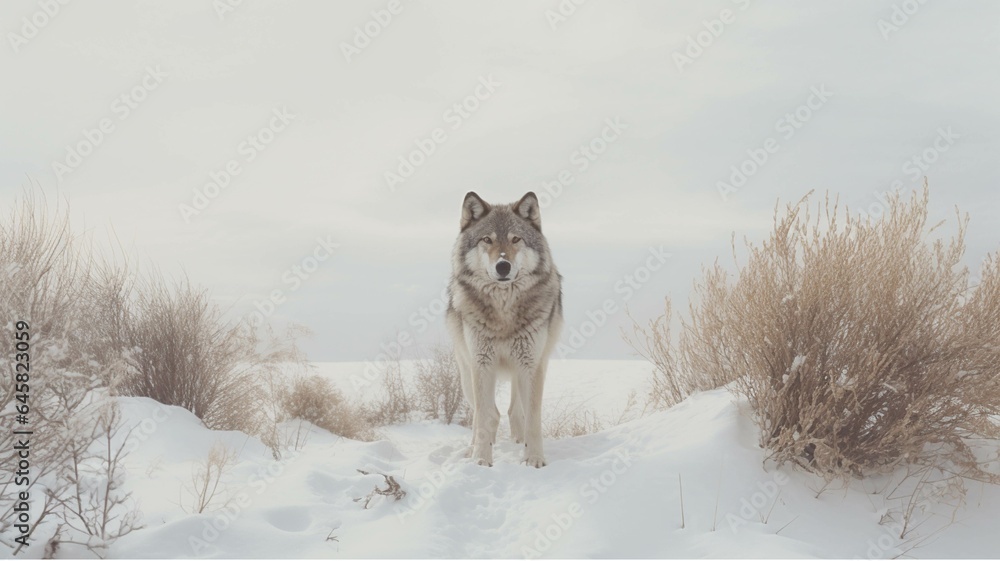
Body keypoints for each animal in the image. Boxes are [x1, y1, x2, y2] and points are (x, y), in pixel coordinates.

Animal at [446, 191, 563, 468]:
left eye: (516, 239)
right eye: (487, 239)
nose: (503, 266)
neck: (503, 311)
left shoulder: (531, 365)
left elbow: (532, 419)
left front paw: (534, 459)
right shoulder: (481, 364)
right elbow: (484, 417)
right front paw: (480, 460)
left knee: (510, 411)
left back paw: (519, 441)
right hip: (467, 376)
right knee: (488, 414)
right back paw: (473, 448)